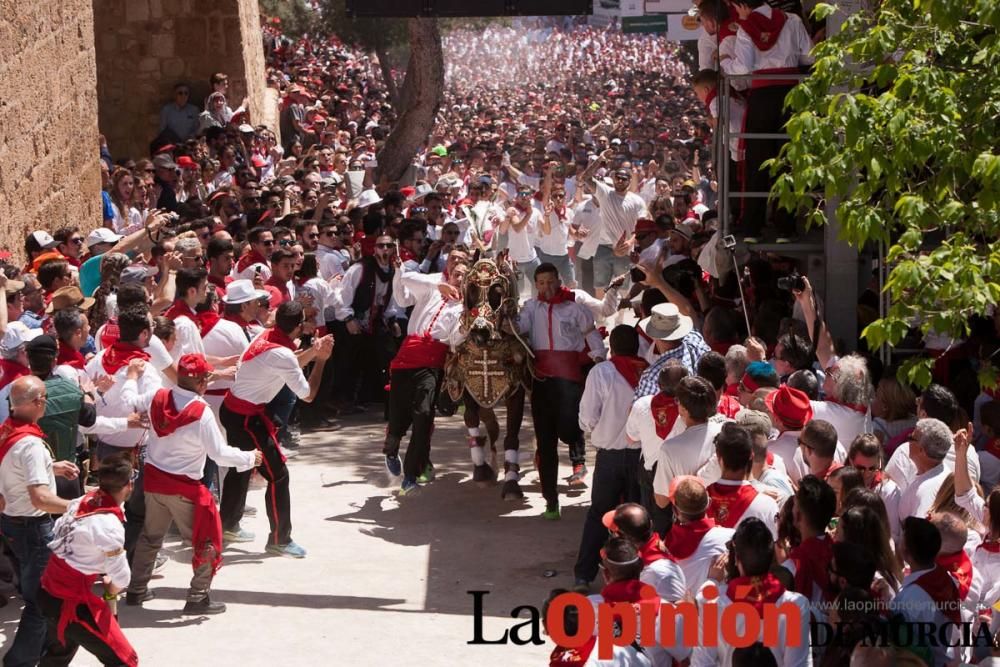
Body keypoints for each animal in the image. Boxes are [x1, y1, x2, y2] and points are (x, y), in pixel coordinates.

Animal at [446, 253, 536, 498]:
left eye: (498, 293)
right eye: (470, 290)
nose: (479, 331)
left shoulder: (515, 390)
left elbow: (512, 435)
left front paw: (512, 482)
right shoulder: (468, 385)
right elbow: (471, 419)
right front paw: (482, 470)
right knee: (490, 425)